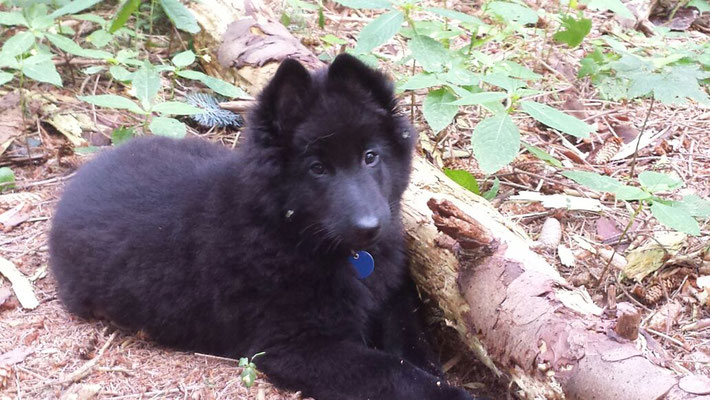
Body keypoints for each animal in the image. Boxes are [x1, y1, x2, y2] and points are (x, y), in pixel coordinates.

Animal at [50, 54, 476, 400]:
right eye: (317, 168)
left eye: (370, 157)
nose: (370, 228)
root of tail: (82, 175)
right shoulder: (295, 345)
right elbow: (392, 371)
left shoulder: (392, 296)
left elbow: (411, 338)